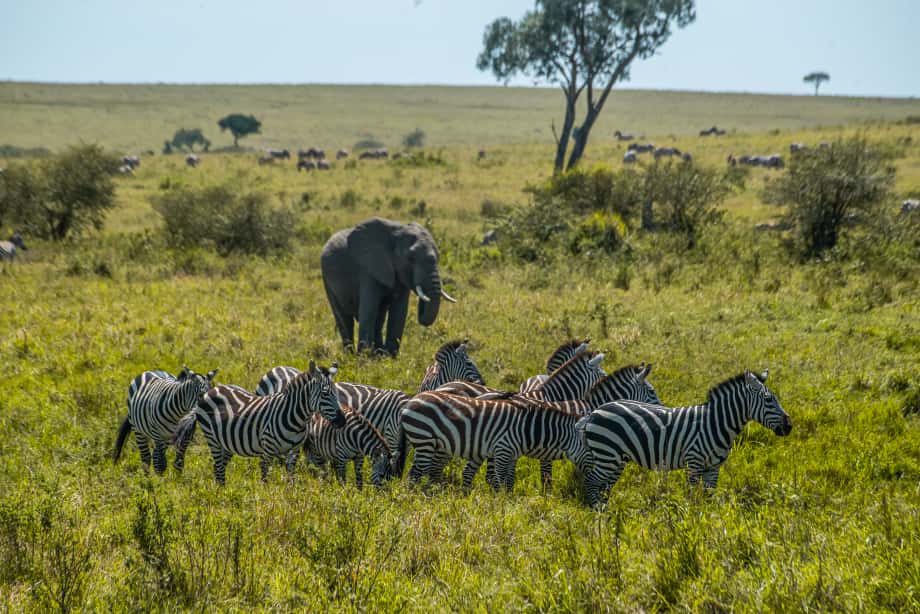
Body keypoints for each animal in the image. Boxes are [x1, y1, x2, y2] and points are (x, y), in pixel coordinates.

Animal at [173, 361, 345, 484]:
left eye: (336, 393)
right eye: (324, 394)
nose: (342, 421)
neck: (295, 418)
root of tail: (212, 390)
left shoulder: (294, 451)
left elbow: (291, 478)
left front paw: (290, 498)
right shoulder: (267, 450)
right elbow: (265, 478)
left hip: (226, 442)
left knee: (218, 468)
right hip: (212, 439)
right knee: (219, 469)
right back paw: (221, 495)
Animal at [402, 392, 594, 492]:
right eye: (588, 448)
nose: (593, 473)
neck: (526, 427)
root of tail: (411, 400)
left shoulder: (512, 454)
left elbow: (509, 480)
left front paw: (509, 502)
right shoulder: (503, 449)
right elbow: (500, 480)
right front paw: (499, 505)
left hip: (429, 444)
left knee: (423, 471)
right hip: (424, 440)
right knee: (415, 474)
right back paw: (418, 499)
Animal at [577, 370, 792, 507]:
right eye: (768, 400)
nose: (789, 426)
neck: (716, 423)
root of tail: (595, 411)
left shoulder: (713, 467)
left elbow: (708, 497)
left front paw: (711, 525)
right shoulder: (694, 462)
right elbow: (693, 497)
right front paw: (692, 523)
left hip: (616, 459)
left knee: (603, 487)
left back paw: (607, 514)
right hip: (607, 454)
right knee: (590, 482)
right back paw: (600, 517)